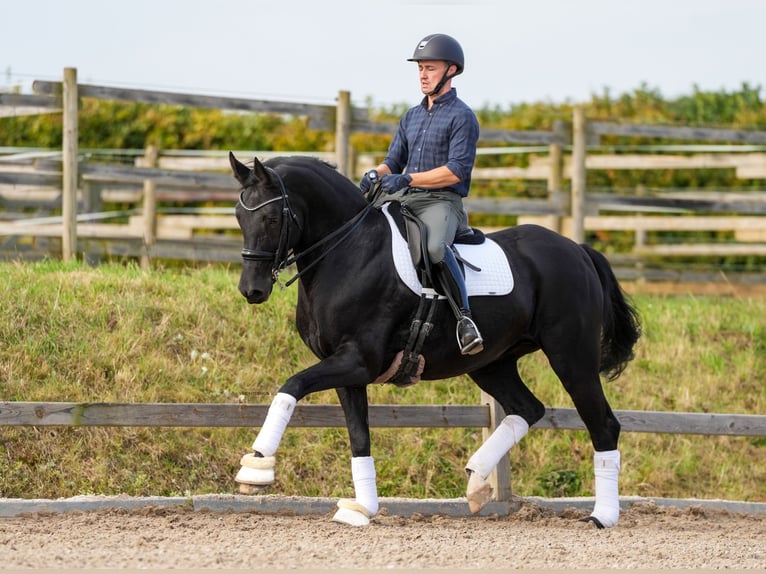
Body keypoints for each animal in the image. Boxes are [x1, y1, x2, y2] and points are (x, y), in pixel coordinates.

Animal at [230, 153, 640, 532]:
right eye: (238, 216)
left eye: (271, 219)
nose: (252, 290)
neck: (350, 251)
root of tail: (576, 250)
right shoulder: (347, 369)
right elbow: (359, 436)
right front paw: (362, 508)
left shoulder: (358, 360)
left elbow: (291, 387)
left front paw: (256, 468)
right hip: (492, 364)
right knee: (527, 408)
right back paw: (476, 482)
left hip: (571, 356)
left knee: (603, 425)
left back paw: (601, 516)